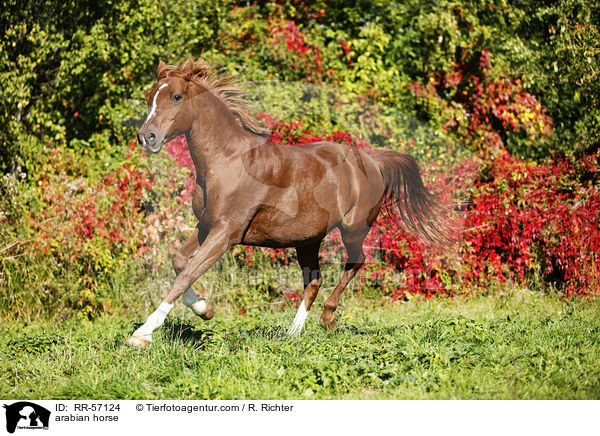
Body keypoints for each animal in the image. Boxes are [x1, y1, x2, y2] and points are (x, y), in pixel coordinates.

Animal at [127, 58, 454, 348]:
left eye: (177, 96)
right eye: (150, 97)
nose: (147, 137)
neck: (227, 161)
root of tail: (372, 160)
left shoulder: (226, 232)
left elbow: (186, 275)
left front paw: (142, 334)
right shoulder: (206, 226)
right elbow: (179, 262)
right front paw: (204, 309)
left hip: (352, 229)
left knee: (356, 261)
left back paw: (328, 318)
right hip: (307, 240)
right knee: (314, 281)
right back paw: (293, 333)